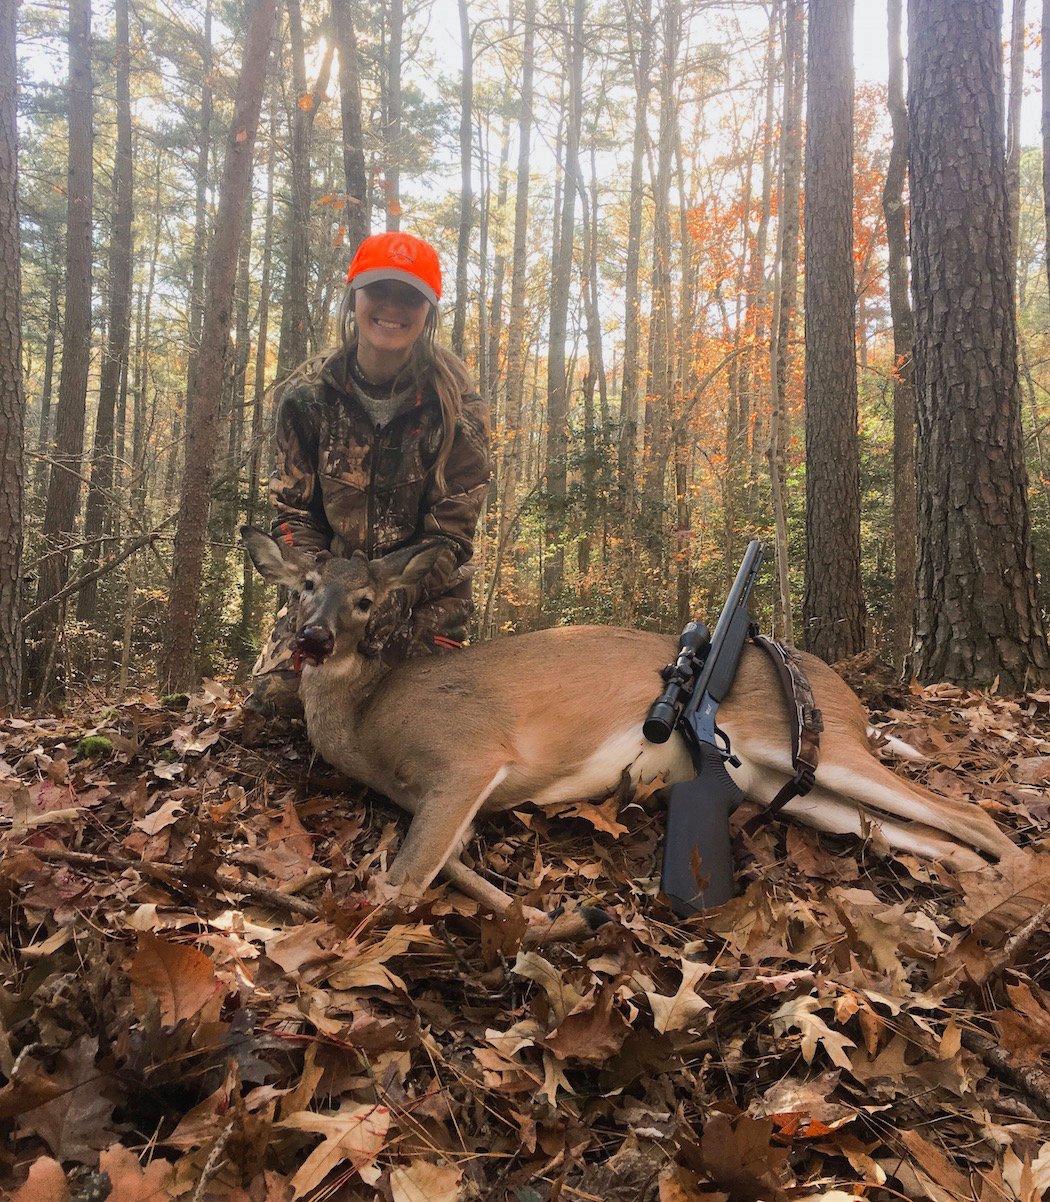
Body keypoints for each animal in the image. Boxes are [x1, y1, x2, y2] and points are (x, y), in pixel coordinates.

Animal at [239, 531, 1013, 942]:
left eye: (366, 600)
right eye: (304, 586)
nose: (313, 636)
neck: (367, 720)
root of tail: (846, 694)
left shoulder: (468, 756)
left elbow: (399, 886)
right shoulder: (442, 797)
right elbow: (449, 866)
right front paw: (553, 918)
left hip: (824, 750)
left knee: (967, 811)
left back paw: (1017, 886)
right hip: (788, 784)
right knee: (923, 833)